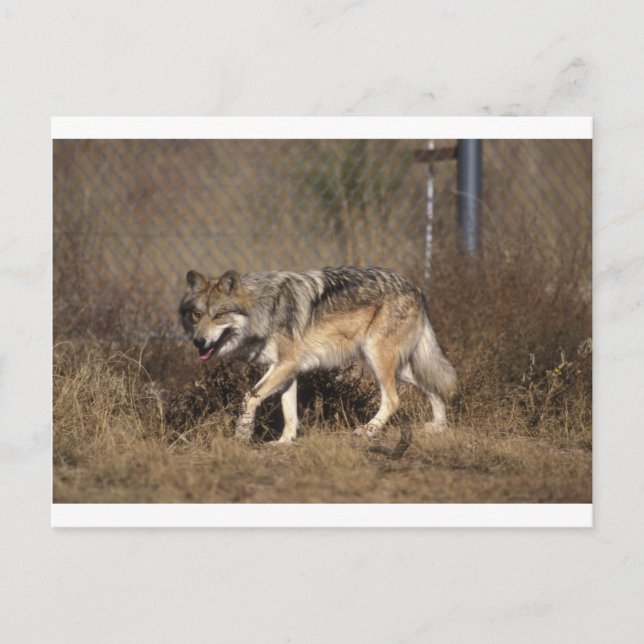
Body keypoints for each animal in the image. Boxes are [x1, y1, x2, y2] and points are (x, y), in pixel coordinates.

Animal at [179, 267, 457, 452]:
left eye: (219, 315)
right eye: (196, 315)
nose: (199, 342)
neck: (263, 309)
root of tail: (416, 288)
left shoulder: (285, 365)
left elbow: (249, 397)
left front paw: (242, 435)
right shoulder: (287, 370)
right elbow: (289, 412)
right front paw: (284, 442)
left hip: (377, 360)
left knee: (394, 399)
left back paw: (368, 430)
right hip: (399, 367)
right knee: (433, 385)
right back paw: (439, 426)